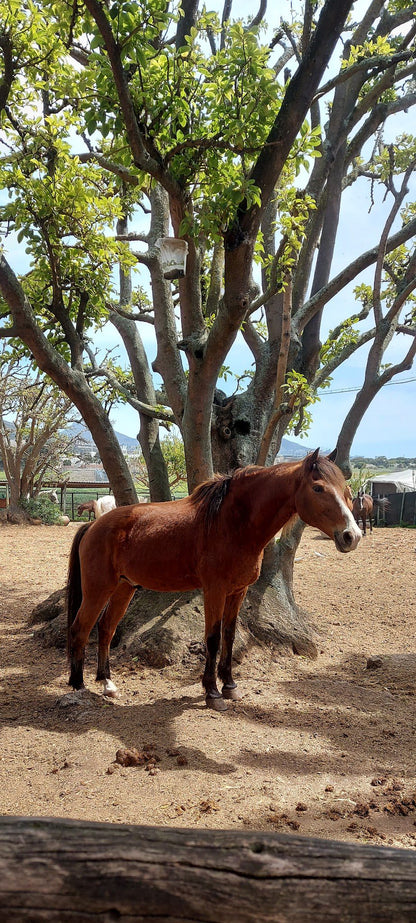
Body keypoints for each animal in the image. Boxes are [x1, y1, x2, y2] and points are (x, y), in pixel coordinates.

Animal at [66, 452, 360, 712]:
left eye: (345, 489)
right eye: (318, 488)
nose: (352, 536)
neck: (232, 523)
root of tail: (93, 526)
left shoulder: (237, 591)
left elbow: (229, 635)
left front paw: (229, 685)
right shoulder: (214, 591)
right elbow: (213, 637)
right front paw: (212, 692)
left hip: (124, 588)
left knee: (106, 628)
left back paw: (107, 683)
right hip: (97, 589)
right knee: (81, 628)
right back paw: (78, 685)